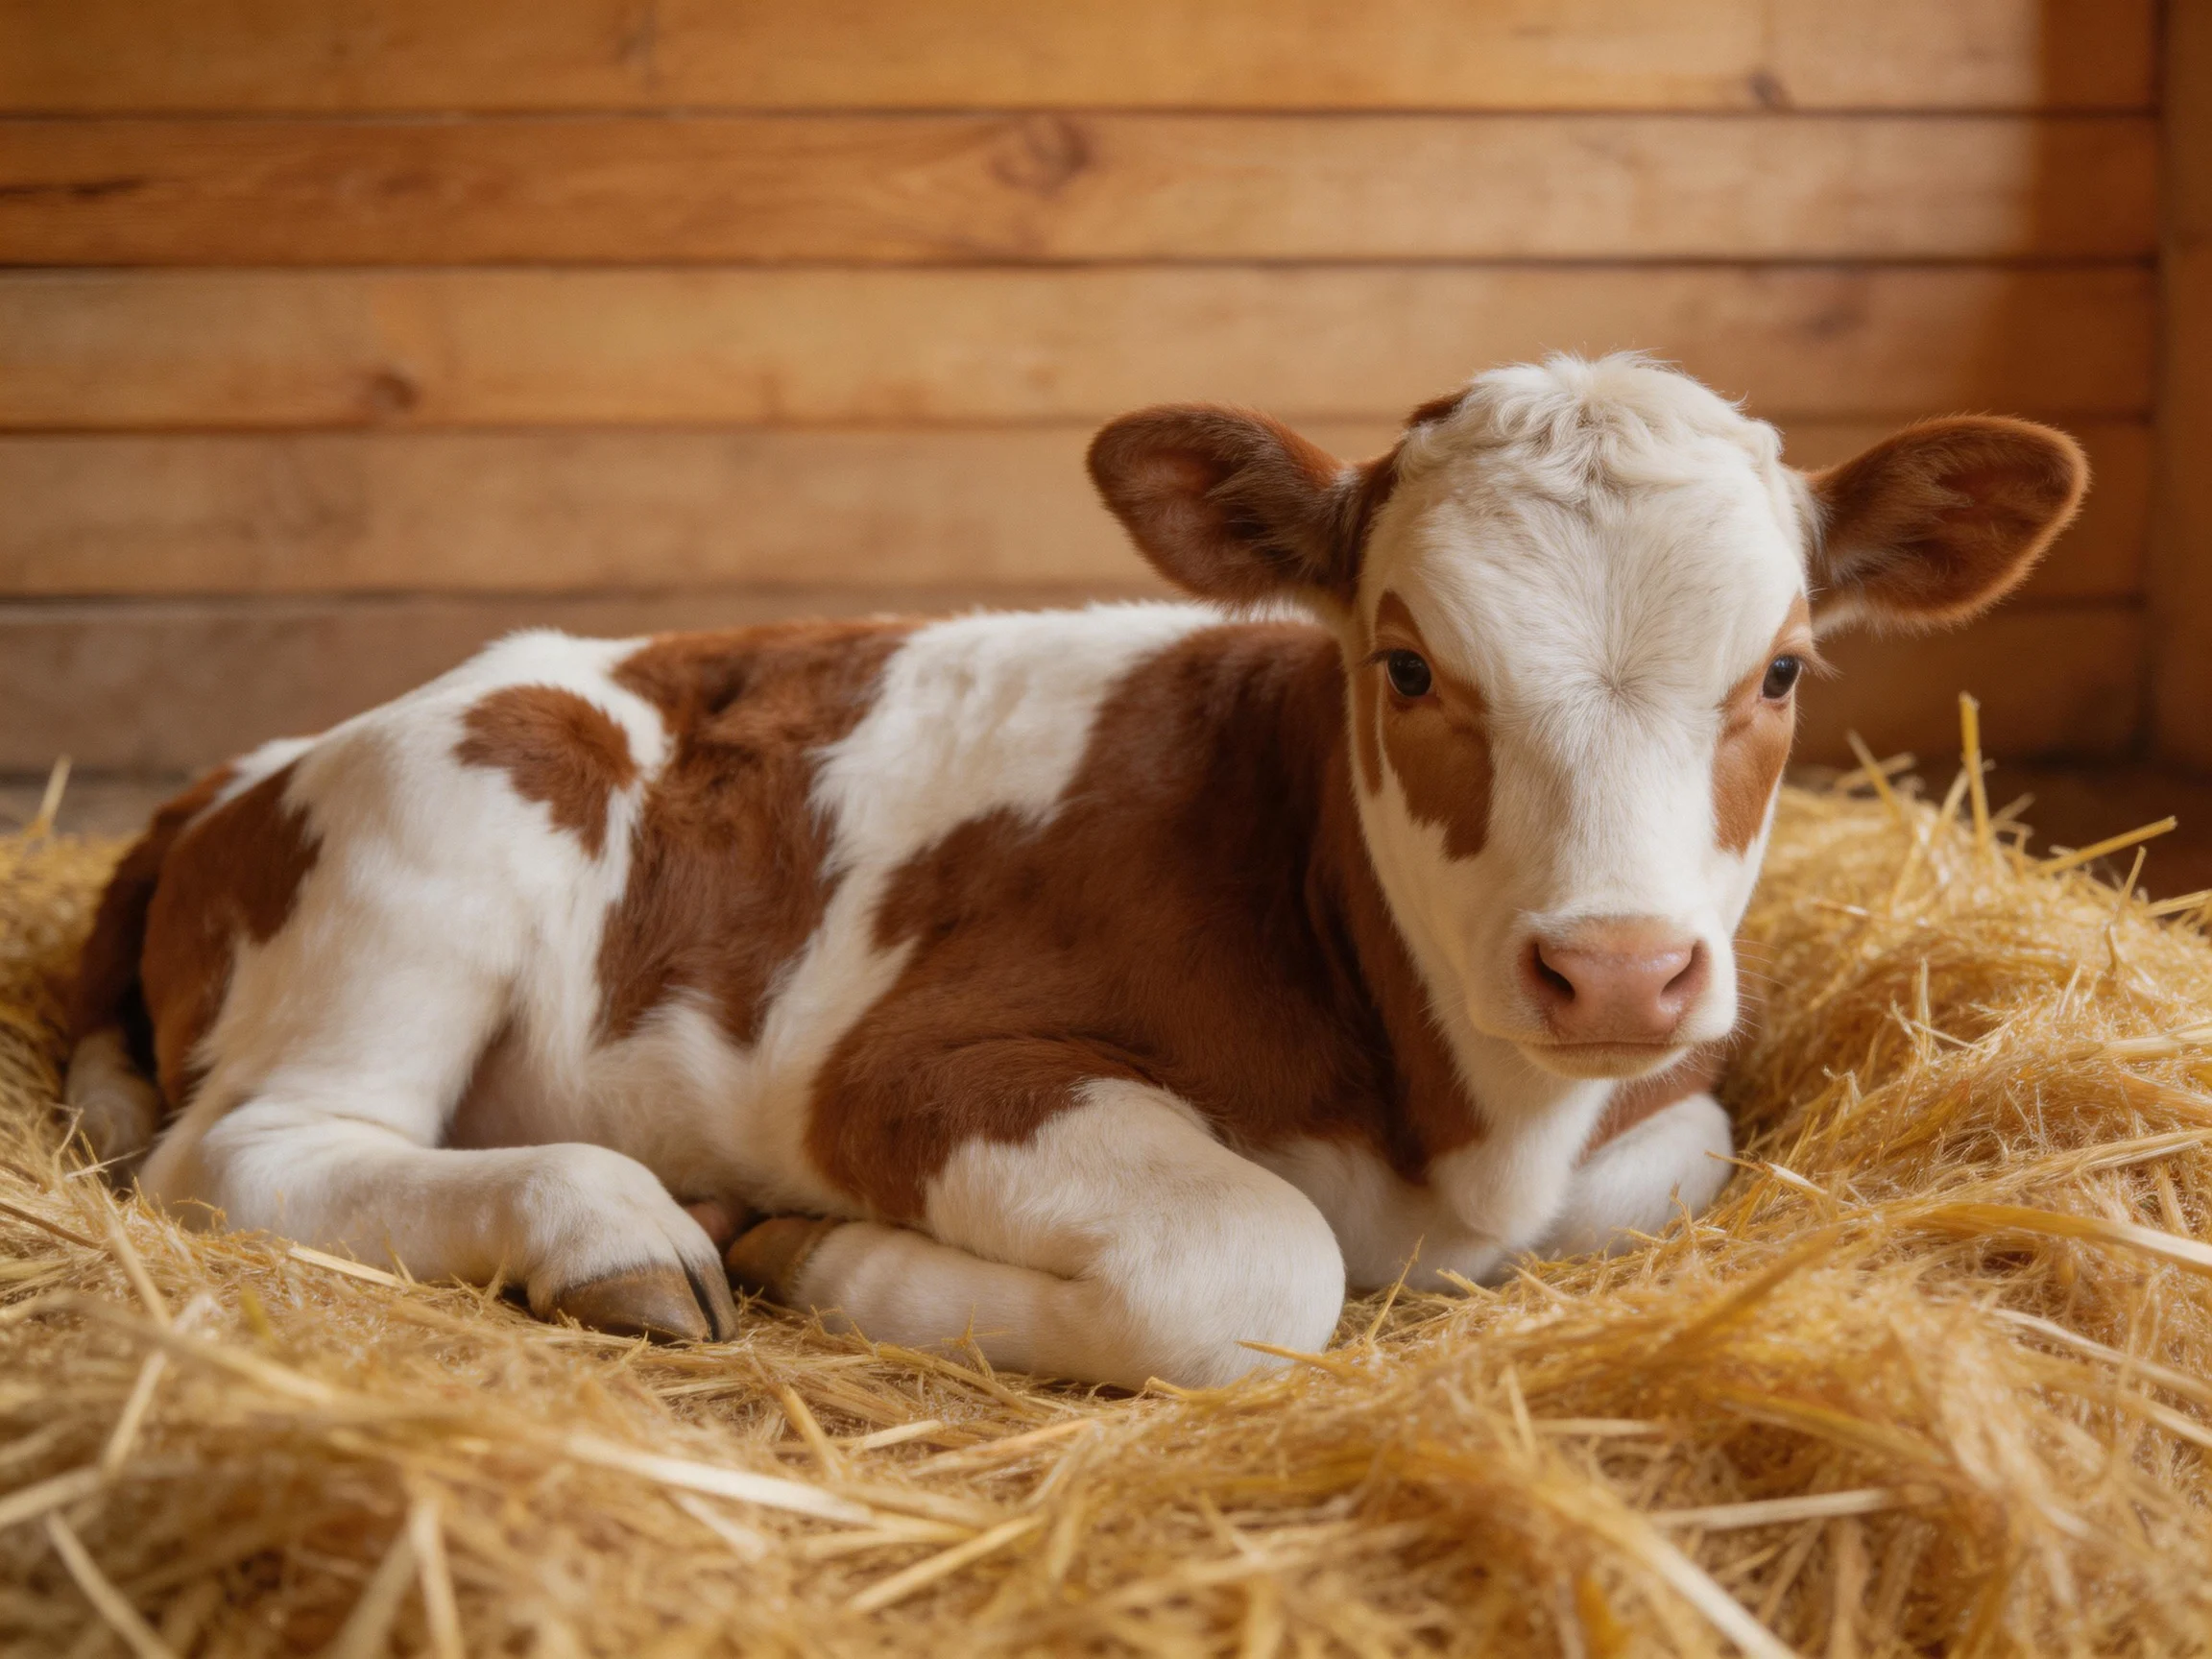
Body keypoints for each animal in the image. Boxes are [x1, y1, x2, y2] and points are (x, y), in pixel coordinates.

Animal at [64, 355, 2084, 1390]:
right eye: (1402, 662)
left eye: (1781, 669)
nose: (1608, 969)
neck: (1464, 1124)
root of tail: (252, 769)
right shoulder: (912, 1063)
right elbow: (1246, 1264)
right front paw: (819, 1252)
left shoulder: (1659, 1110)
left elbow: (1669, 1157)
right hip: (455, 826)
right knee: (246, 1155)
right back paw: (617, 1230)